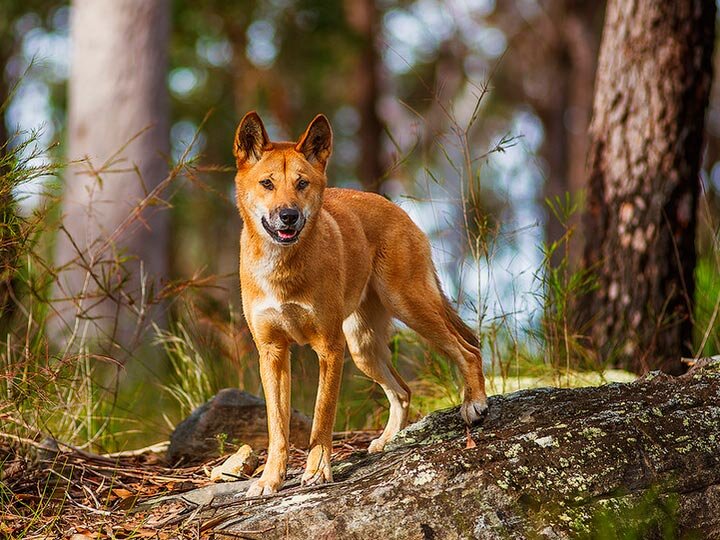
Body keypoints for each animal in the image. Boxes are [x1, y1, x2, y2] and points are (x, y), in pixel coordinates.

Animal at [233, 112, 486, 496]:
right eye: (267, 183)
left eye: (302, 183)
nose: (289, 215)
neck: (283, 269)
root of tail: (398, 210)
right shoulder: (272, 352)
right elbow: (277, 428)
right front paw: (270, 479)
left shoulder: (330, 348)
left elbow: (322, 417)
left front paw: (318, 471)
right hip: (363, 347)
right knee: (403, 391)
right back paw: (388, 441)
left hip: (408, 306)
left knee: (467, 350)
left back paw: (475, 403)